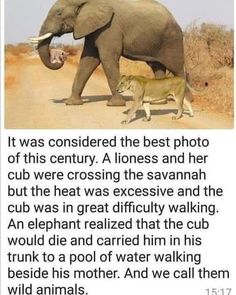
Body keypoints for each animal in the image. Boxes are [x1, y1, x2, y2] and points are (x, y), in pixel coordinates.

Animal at [30, 0, 185, 106]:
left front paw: (115, 104)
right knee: (157, 66)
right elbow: (88, 60)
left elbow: (107, 59)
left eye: (59, 13)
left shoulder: (110, 28)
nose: (61, 57)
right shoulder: (93, 28)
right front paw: (72, 103)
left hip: (173, 40)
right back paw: (157, 103)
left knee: (177, 68)